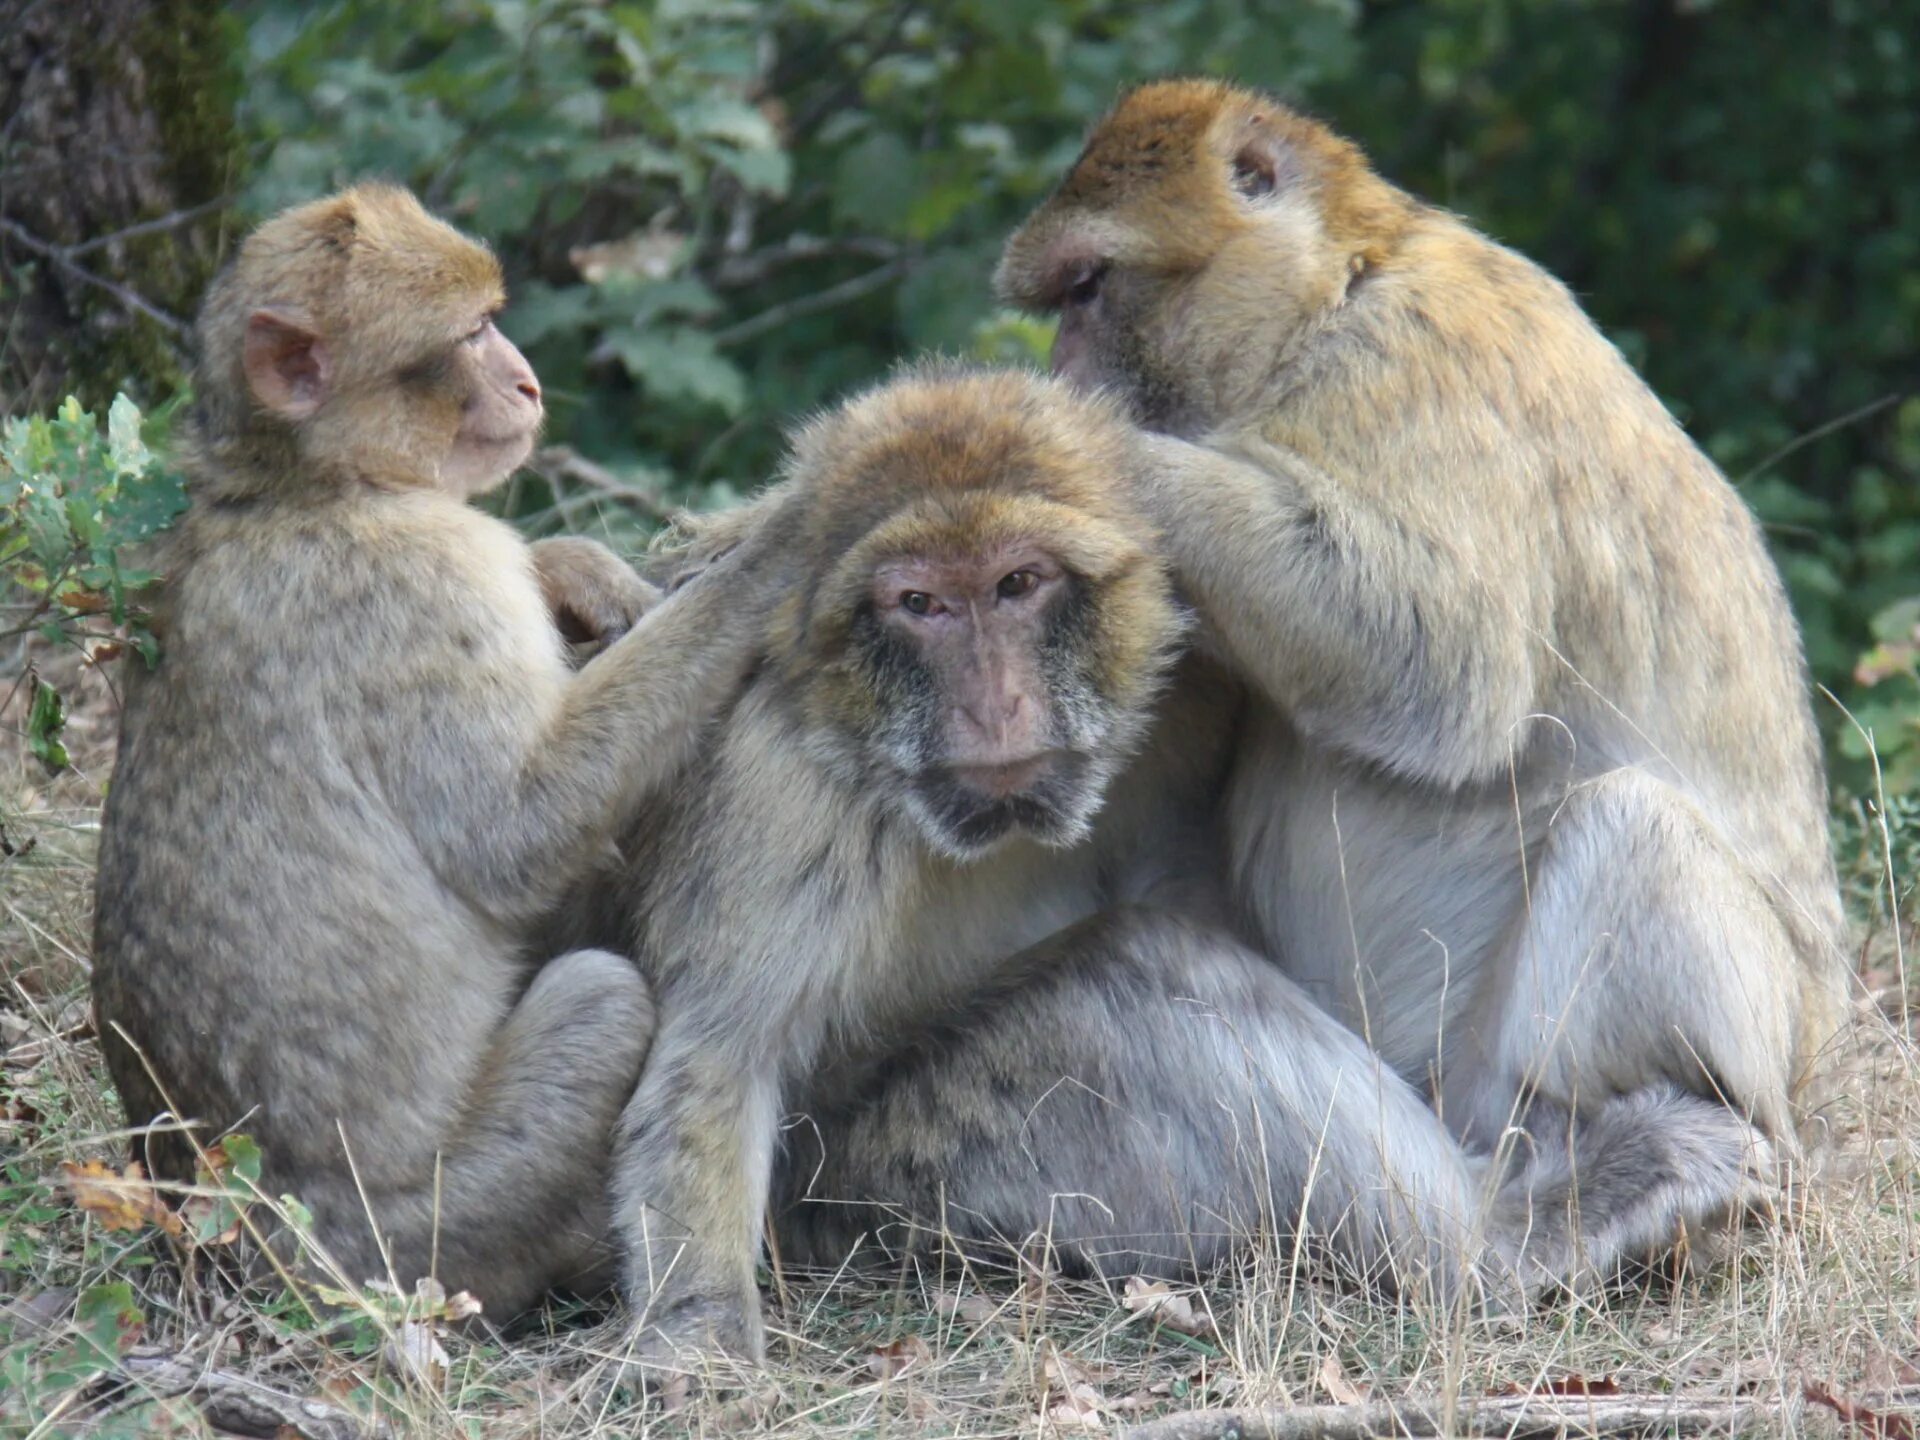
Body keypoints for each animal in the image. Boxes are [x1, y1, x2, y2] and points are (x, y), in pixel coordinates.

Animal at [88, 186, 794, 1328]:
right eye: (469, 335)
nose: (526, 379)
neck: (302, 483)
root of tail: (229, 1235)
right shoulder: (421, 583)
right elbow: (515, 838)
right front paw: (795, 542)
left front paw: (581, 569)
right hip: (426, 1235)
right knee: (601, 1002)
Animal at [606, 360, 1505, 1374]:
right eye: (921, 605)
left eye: (1017, 583)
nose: (993, 704)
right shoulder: (781, 779)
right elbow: (722, 1059)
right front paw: (698, 1331)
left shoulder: (1186, 693)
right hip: (896, 1178)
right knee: (1146, 972)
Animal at [990, 78, 1843, 1282]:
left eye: (1088, 287)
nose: (1065, 368)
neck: (1342, 286)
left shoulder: (1415, 370)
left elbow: (1441, 662)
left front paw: (1074, 446)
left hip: (1730, 1053)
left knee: (1630, 827)